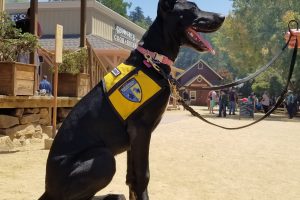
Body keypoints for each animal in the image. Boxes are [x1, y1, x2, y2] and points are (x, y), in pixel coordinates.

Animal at [39, 0, 223, 199]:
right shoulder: (141, 130)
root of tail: (48, 189)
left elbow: (131, 177)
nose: (222, 17)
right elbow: (143, 175)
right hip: (104, 158)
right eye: (192, 8)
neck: (153, 60)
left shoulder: (133, 138)